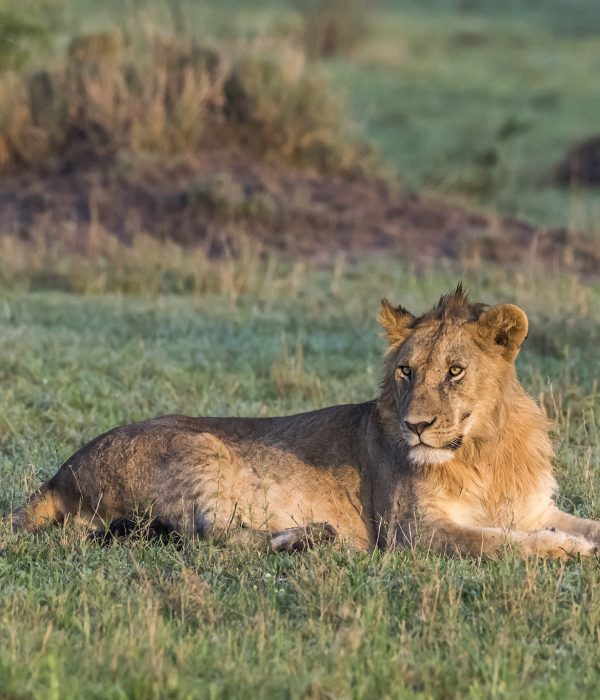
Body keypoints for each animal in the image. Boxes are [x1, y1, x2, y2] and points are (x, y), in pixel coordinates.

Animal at [11, 284, 600, 560]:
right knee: (208, 539)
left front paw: (578, 539)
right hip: (201, 450)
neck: (483, 451)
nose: (415, 425)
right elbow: (498, 542)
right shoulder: (412, 531)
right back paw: (312, 538)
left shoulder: (535, 507)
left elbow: (574, 523)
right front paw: (565, 549)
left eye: (455, 371)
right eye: (406, 371)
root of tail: (61, 472)